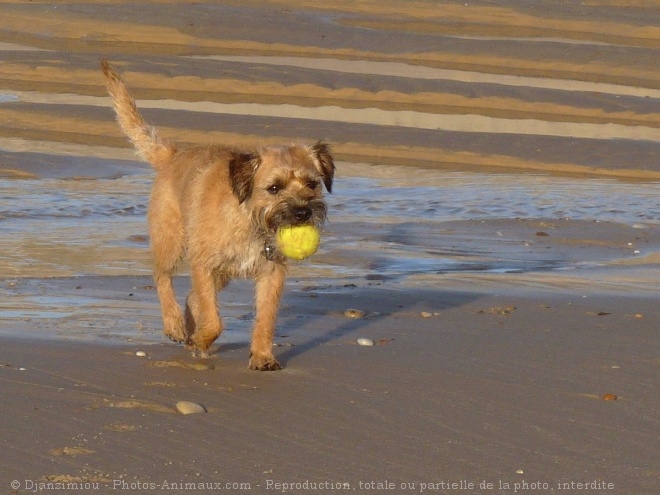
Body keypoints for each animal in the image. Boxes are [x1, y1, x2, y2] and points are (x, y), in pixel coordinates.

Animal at [102, 60, 336, 370]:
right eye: (274, 188)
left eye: (312, 184)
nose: (302, 212)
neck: (249, 219)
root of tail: (174, 156)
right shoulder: (203, 264)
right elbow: (214, 321)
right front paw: (202, 339)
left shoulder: (271, 273)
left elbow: (265, 319)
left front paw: (262, 356)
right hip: (171, 241)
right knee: (162, 277)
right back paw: (174, 323)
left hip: (221, 273)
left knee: (192, 297)